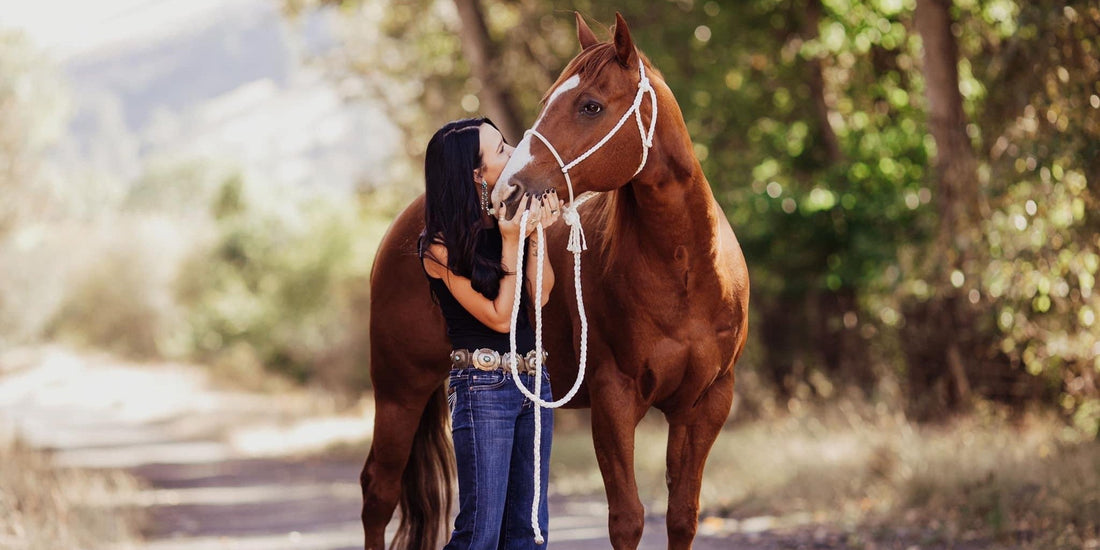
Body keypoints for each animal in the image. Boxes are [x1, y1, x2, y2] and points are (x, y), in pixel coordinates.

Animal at [360, 12, 748, 550]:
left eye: (591, 105)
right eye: (547, 102)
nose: (509, 192)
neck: (686, 273)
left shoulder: (706, 405)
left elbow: (682, 515)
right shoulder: (613, 398)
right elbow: (626, 519)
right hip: (400, 390)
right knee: (379, 491)